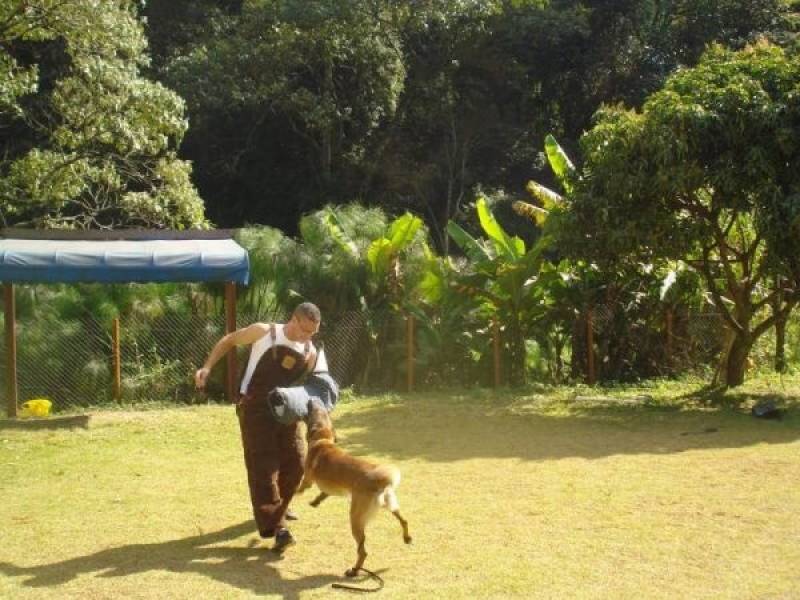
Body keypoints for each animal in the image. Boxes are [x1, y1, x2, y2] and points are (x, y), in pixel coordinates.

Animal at [298, 398, 412, 576]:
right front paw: (315, 502)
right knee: (403, 520)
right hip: (390, 505)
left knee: (363, 551)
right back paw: (407, 538)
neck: (323, 440)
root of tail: (380, 481)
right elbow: (323, 494)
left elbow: (298, 489)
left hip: (355, 518)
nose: (312, 400)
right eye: (318, 411)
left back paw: (354, 570)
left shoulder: (307, 481)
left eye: (313, 412)